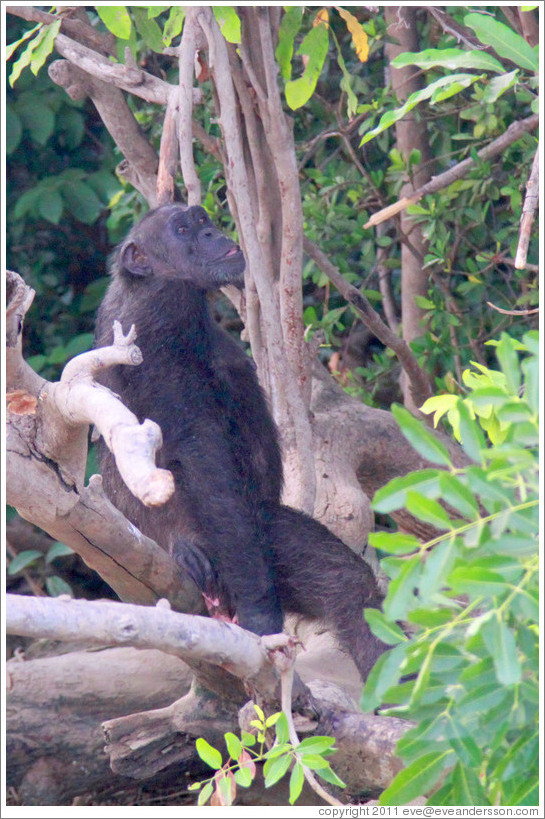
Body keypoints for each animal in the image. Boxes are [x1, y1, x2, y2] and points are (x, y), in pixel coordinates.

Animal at [94, 203, 386, 680]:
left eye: (201, 218)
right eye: (182, 229)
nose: (212, 232)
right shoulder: (159, 329)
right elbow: (201, 451)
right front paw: (260, 616)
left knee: (346, 587)